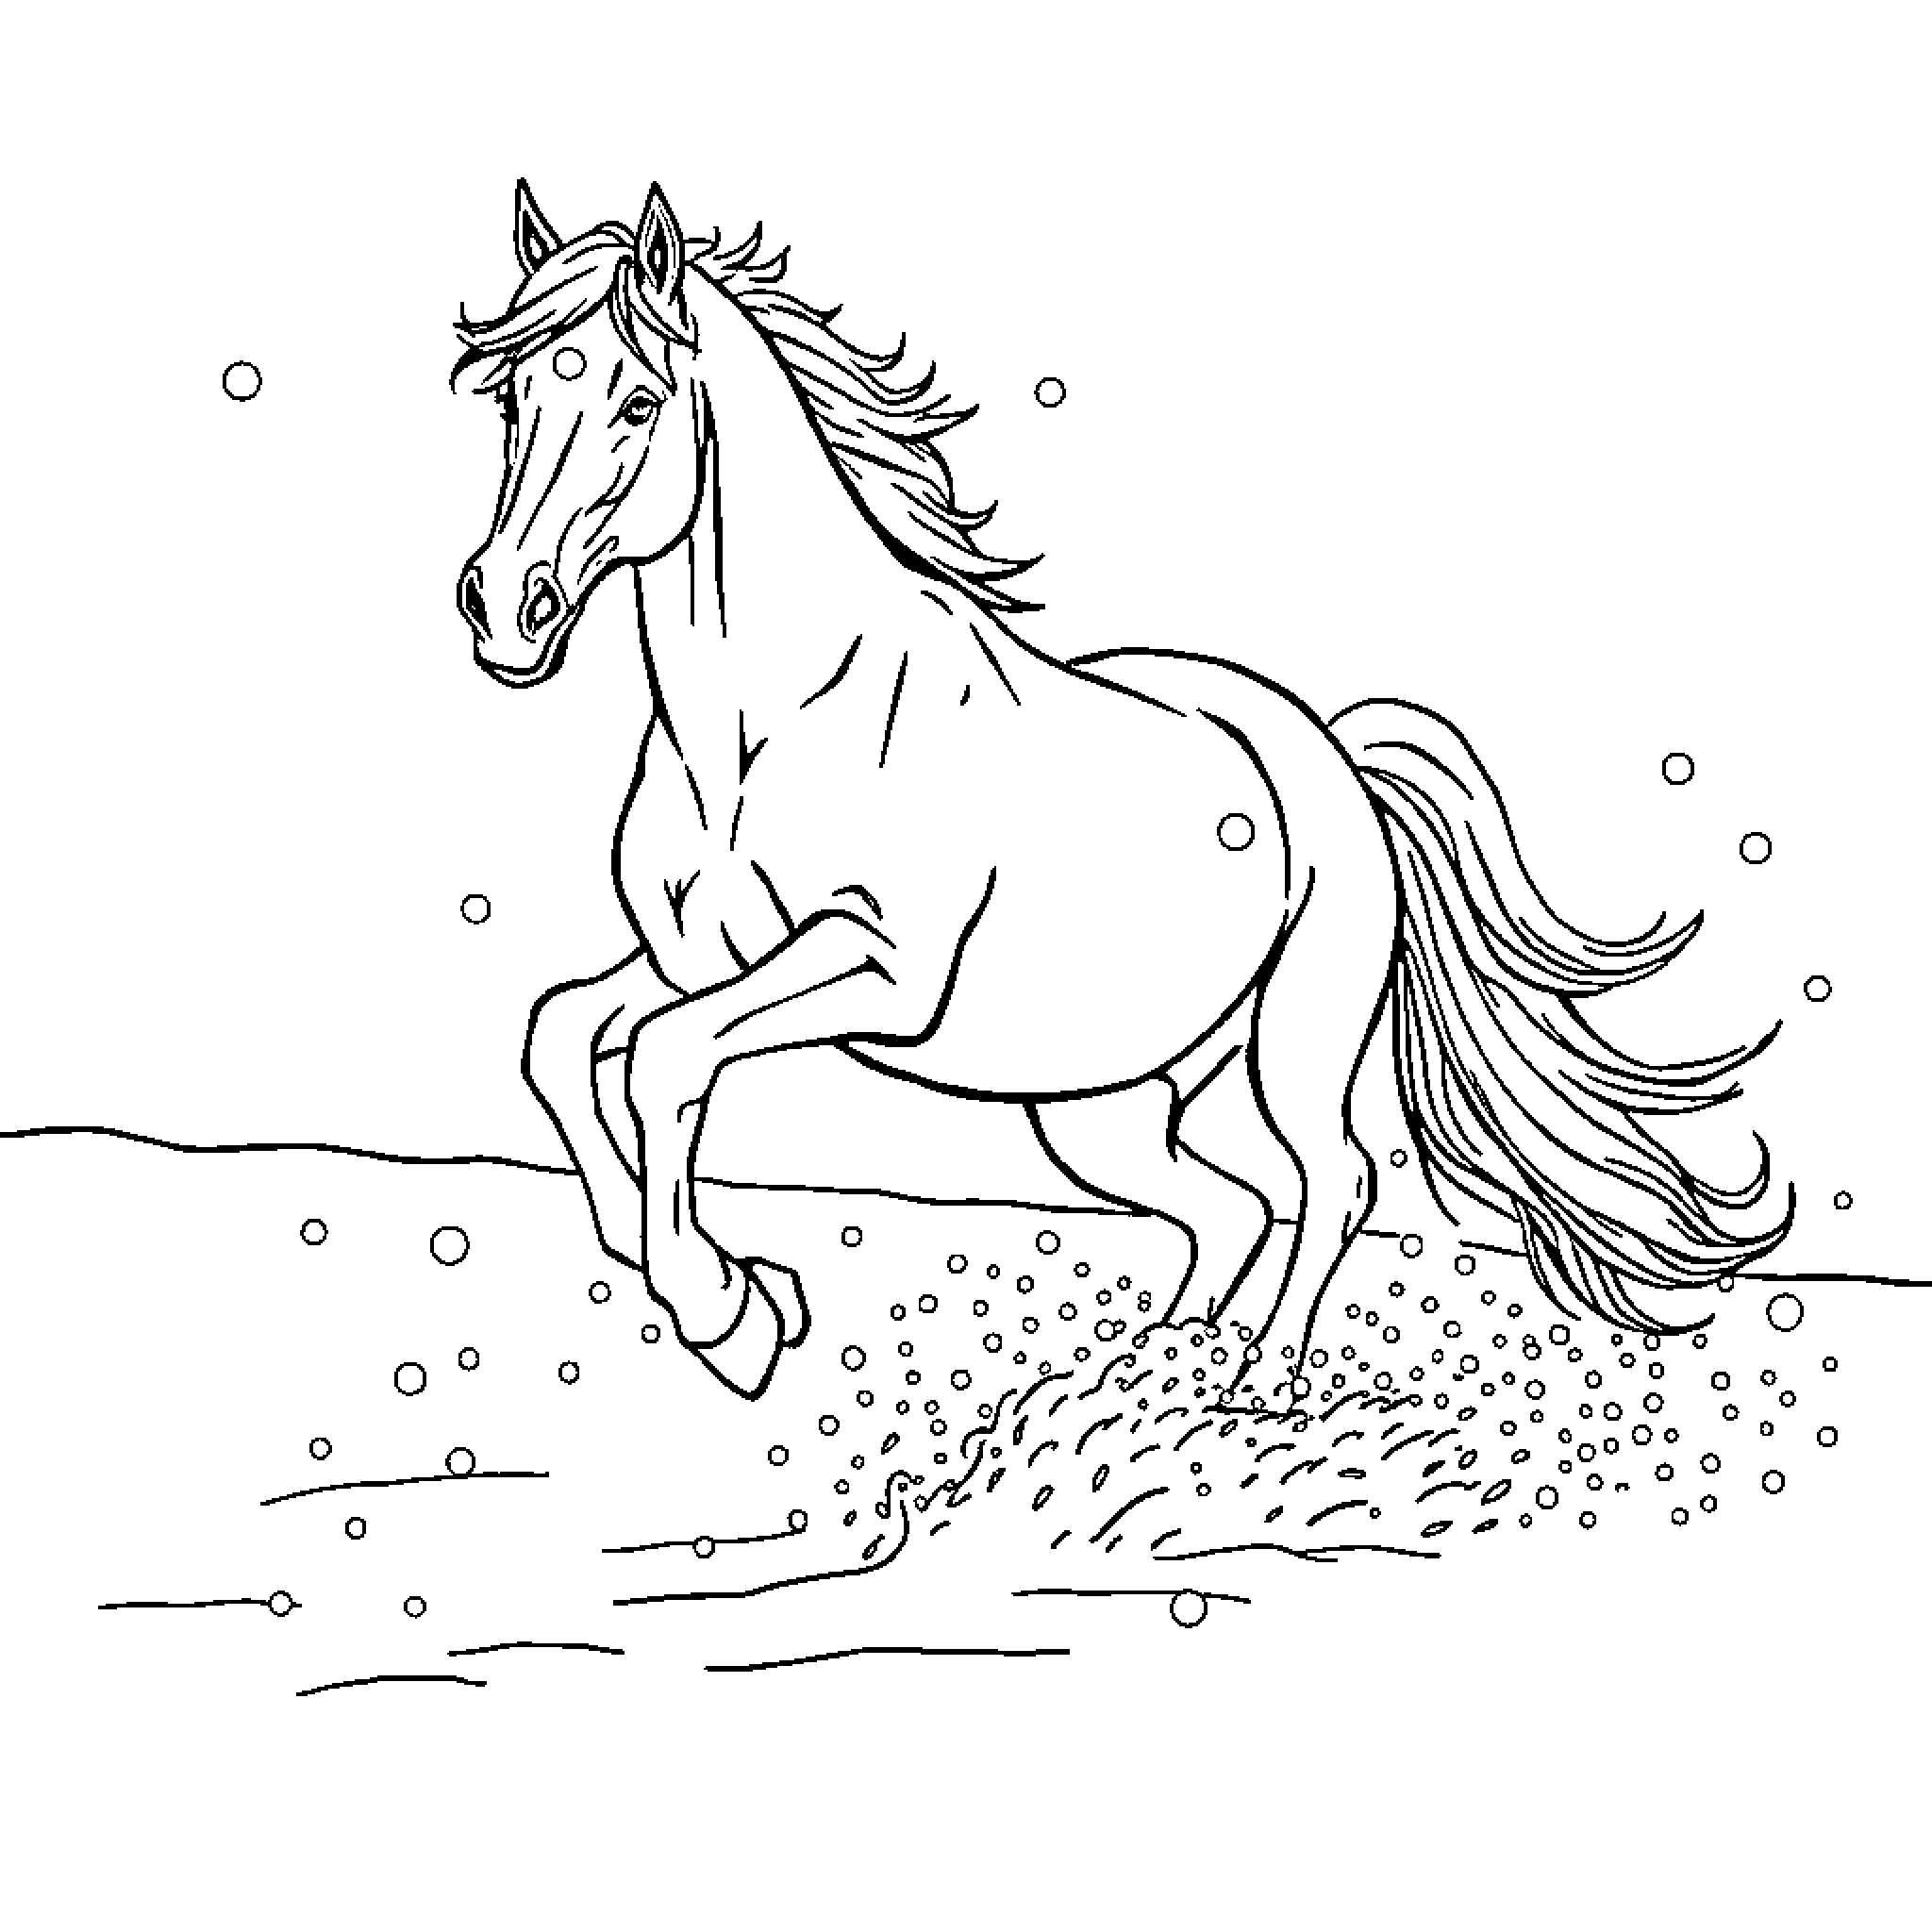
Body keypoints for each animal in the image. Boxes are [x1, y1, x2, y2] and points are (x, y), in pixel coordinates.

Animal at [450, 180, 1792, 1402]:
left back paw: (1258, 1383)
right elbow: (566, 1034)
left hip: (1291, 1042)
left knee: (1331, 1179)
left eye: (636, 400)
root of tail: (1333, 761)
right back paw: (1158, 1368)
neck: (761, 724)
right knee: (1228, 1204)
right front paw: (719, 1286)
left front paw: (724, 1309)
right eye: (515, 393)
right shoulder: (692, 956)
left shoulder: (877, 968)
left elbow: (662, 1059)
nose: (502, 606)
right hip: (1100, 1107)